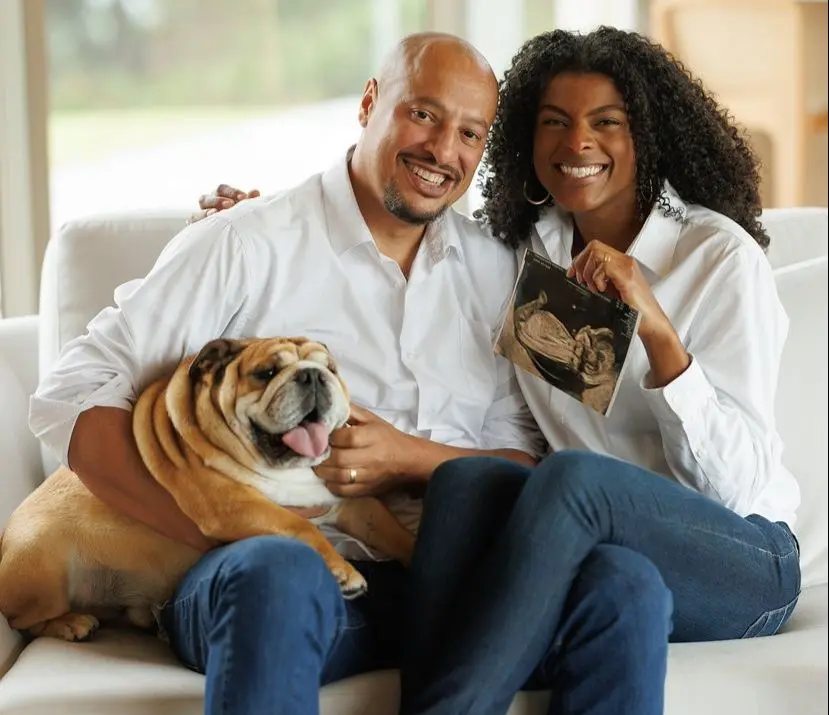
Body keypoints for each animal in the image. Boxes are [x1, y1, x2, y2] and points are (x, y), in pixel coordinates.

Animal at [0, 337, 415, 642]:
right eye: (265, 373)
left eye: (330, 369)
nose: (312, 376)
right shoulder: (235, 506)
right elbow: (301, 527)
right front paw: (342, 571)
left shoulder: (352, 502)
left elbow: (391, 527)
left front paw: (414, 547)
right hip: (40, 563)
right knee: (22, 620)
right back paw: (71, 623)